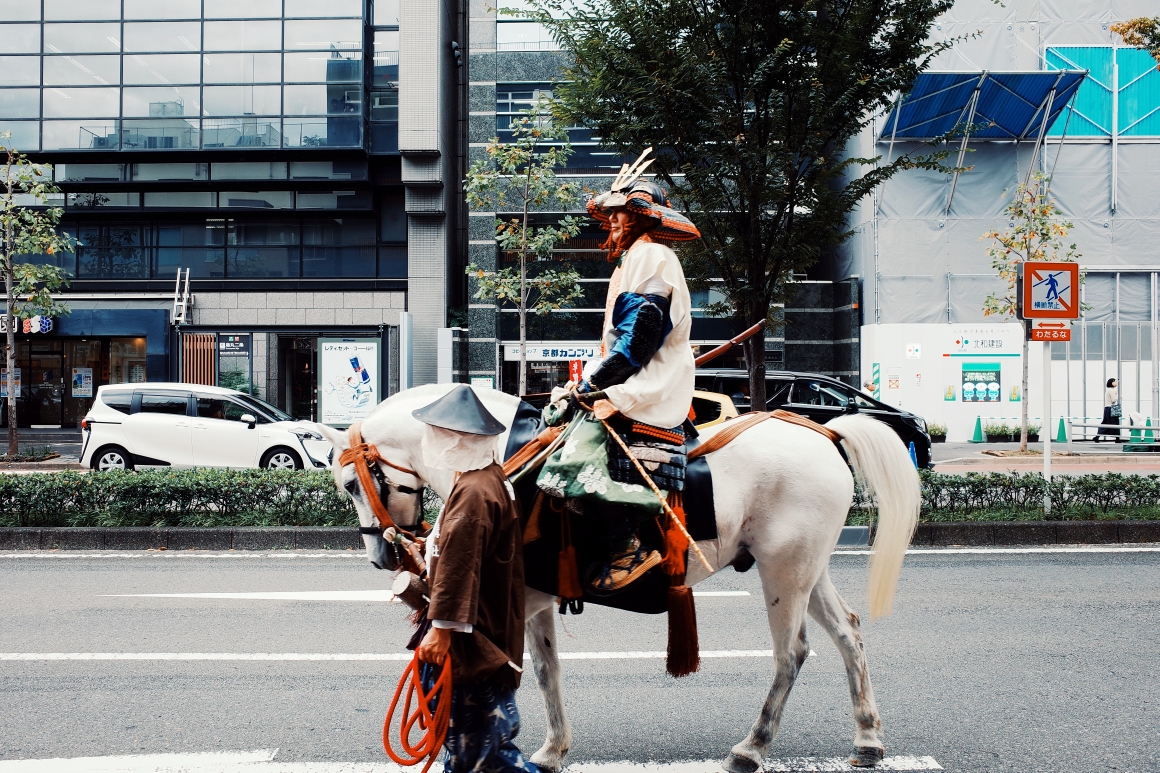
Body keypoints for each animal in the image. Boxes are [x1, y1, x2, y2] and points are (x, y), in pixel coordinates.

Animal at [315, 383, 914, 766]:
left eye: (349, 483)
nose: (381, 556)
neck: (504, 461)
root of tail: (824, 432)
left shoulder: (515, 592)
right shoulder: (534, 594)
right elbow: (544, 670)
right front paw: (552, 750)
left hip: (783, 571)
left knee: (792, 653)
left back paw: (753, 746)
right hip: (807, 568)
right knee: (848, 634)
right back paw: (867, 737)